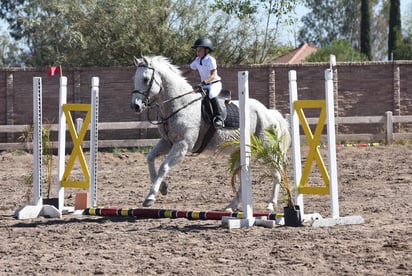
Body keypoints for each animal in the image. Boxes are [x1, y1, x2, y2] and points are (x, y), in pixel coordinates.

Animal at [131, 56, 290, 211]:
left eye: (146, 79)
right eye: (135, 79)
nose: (135, 106)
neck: (179, 106)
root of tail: (268, 111)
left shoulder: (182, 145)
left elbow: (164, 166)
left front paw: (150, 197)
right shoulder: (167, 142)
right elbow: (150, 158)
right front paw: (163, 188)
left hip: (266, 148)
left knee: (276, 172)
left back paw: (271, 204)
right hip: (241, 151)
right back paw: (231, 206)